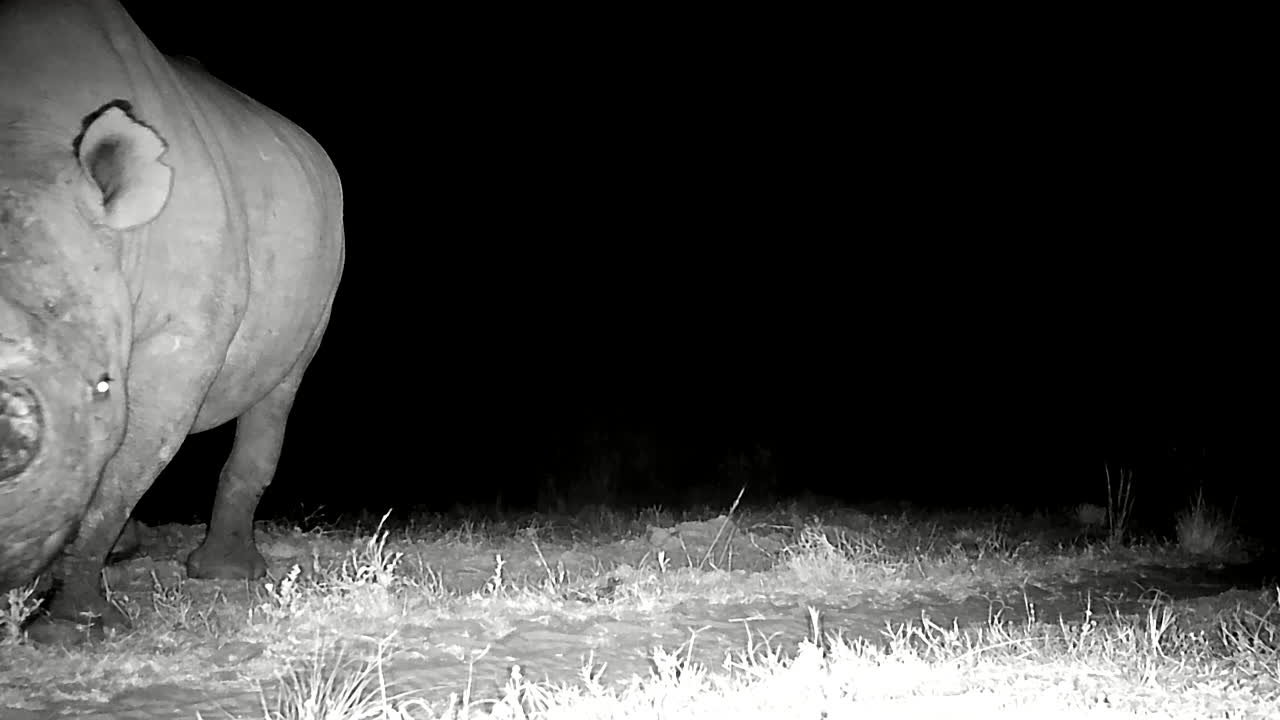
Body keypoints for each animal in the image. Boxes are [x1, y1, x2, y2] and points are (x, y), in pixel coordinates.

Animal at [0, 0, 344, 643]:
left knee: (281, 385)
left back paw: (223, 574)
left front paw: (73, 629)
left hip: (327, 252)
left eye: (103, 387)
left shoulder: (180, 341)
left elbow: (124, 471)